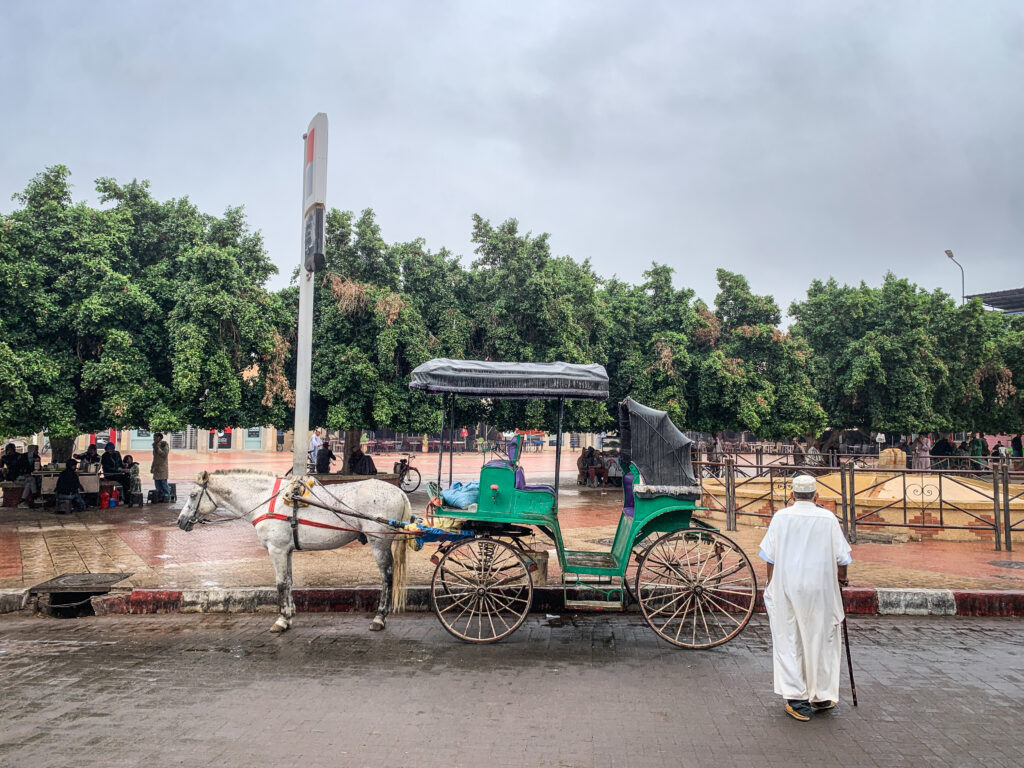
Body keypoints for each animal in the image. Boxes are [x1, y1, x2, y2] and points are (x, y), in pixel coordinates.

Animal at [177, 473, 411, 634]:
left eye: (193, 495)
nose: (180, 521)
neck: (266, 500)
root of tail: (398, 491)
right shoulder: (285, 550)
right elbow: (288, 581)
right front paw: (289, 616)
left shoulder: (277, 549)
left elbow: (281, 583)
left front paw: (281, 620)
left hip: (378, 542)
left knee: (387, 576)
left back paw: (379, 618)